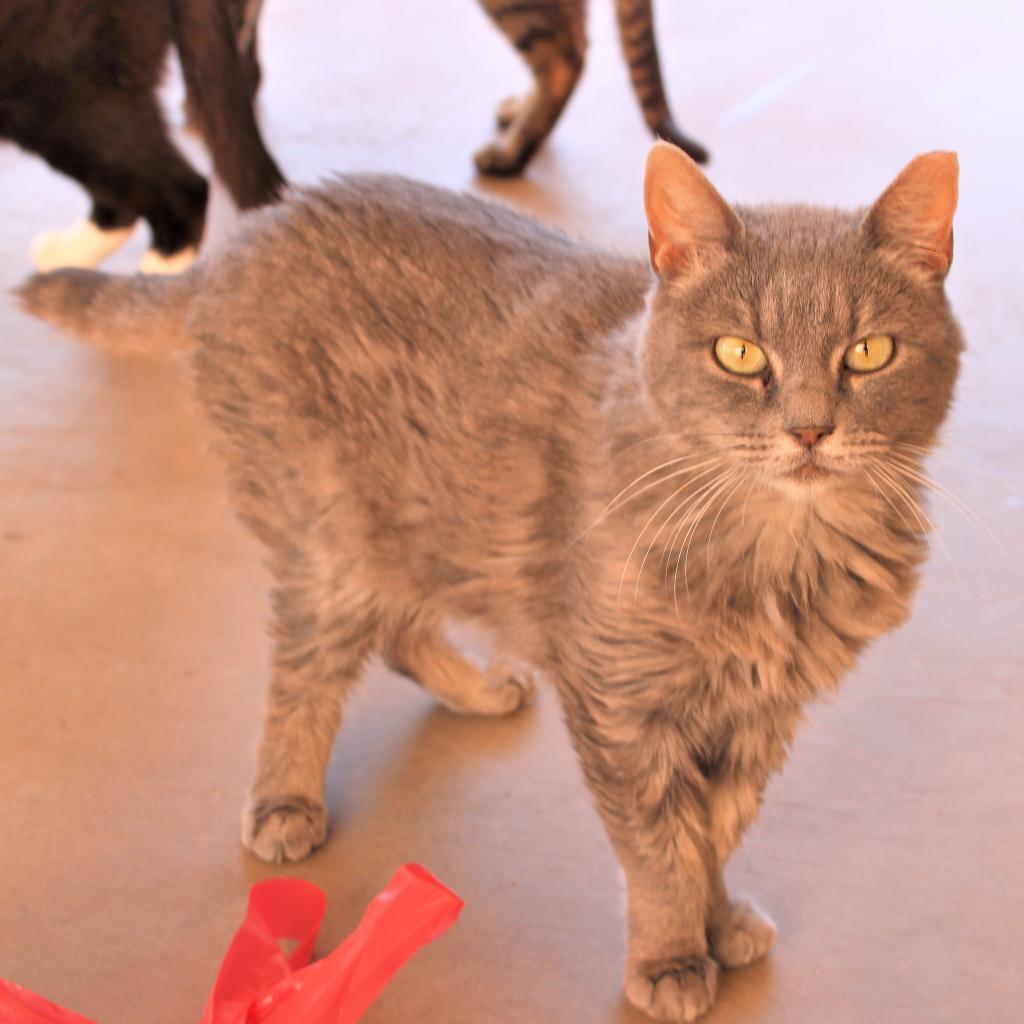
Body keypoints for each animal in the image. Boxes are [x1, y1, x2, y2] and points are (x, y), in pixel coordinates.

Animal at [18, 146, 958, 1024]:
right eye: (740, 354)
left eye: (868, 353)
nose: (809, 429)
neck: (777, 551)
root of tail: (253, 232)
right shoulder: (620, 704)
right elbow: (663, 847)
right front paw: (670, 956)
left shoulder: (758, 712)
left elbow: (715, 830)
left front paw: (717, 920)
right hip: (328, 536)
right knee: (307, 673)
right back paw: (285, 799)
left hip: (410, 530)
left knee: (399, 631)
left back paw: (475, 689)